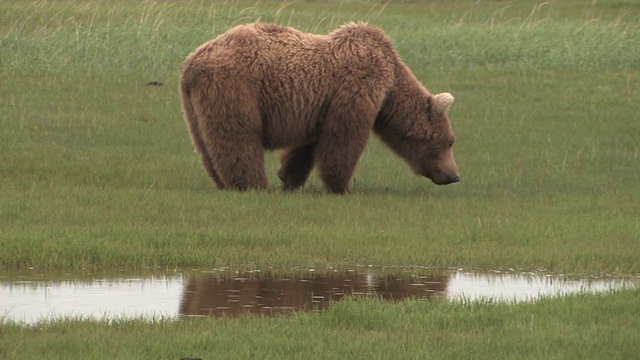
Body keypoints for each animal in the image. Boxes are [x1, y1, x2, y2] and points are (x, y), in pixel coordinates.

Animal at [180, 22, 460, 194]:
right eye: (449, 142)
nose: (454, 176)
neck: (391, 81)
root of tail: (193, 61)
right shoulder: (359, 84)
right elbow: (345, 136)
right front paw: (341, 186)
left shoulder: (319, 106)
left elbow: (308, 145)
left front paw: (289, 178)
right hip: (235, 86)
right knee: (238, 136)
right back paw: (251, 184)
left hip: (192, 106)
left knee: (206, 146)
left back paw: (223, 182)